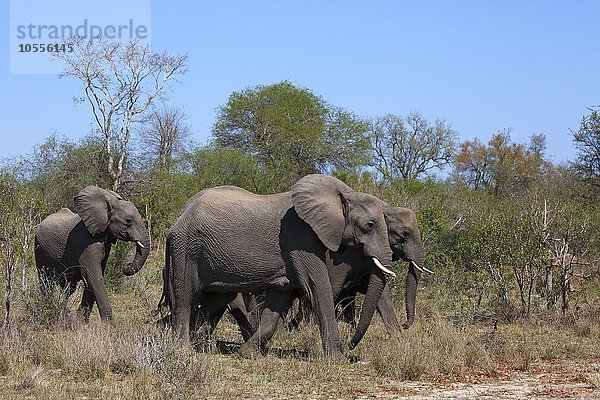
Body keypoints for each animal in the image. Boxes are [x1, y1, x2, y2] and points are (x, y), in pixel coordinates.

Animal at [34, 186, 150, 320]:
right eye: (128, 221)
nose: (125, 266)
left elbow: (93, 279)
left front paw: (80, 320)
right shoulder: (86, 243)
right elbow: (93, 276)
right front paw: (108, 323)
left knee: (69, 287)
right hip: (38, 249)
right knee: (46, 282)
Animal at [159, 174, 394, 360]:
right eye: (370, 225)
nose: (350, 345)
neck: (345, 193)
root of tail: (177, 218)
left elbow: (278, 300)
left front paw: (248, 354)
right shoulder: (300, 239)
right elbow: (318, 288)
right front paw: (338, 360)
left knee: (215, 299)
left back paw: (190, 339)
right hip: (186, 249)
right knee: (184, 299)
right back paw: (183, 350)